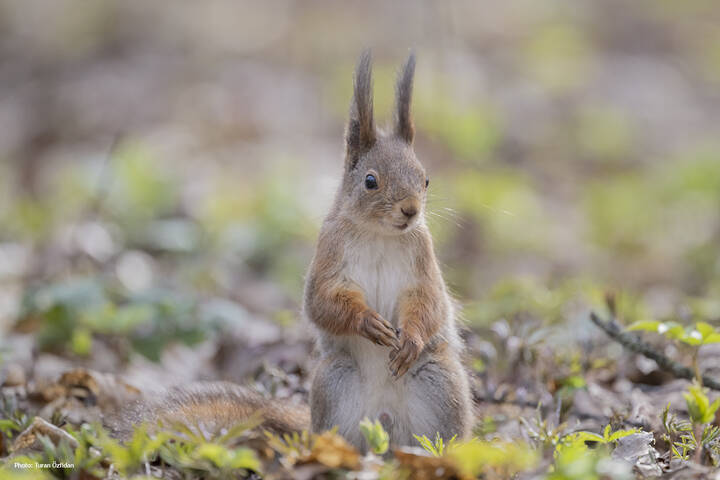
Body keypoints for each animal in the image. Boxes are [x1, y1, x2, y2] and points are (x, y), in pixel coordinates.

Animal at [112, 51, 473, 451]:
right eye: (370, 181)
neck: (379, 234)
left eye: (425, 179)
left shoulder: (422, 257)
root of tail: (387, 430)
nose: (410, 210)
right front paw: (367, 321)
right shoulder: (329, 250)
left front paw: (409, 339)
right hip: (335, 383)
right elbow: (321, 300)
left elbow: (428, 300)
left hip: (440, 385)